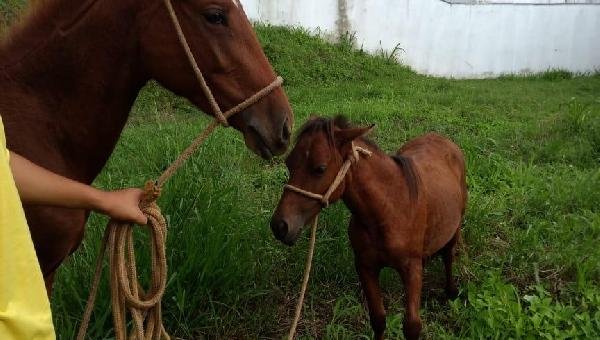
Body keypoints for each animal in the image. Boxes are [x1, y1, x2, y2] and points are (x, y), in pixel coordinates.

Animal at [272, 117, 468, 340]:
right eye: (289, 163)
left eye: (320, 168)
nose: (280, 226)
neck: (389, 209)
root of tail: (444, 140)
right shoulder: (366, 266)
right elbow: (378, 319)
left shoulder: (411, 269)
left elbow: (412, 326)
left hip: (455, 227)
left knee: (448, 255)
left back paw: (451, 291)